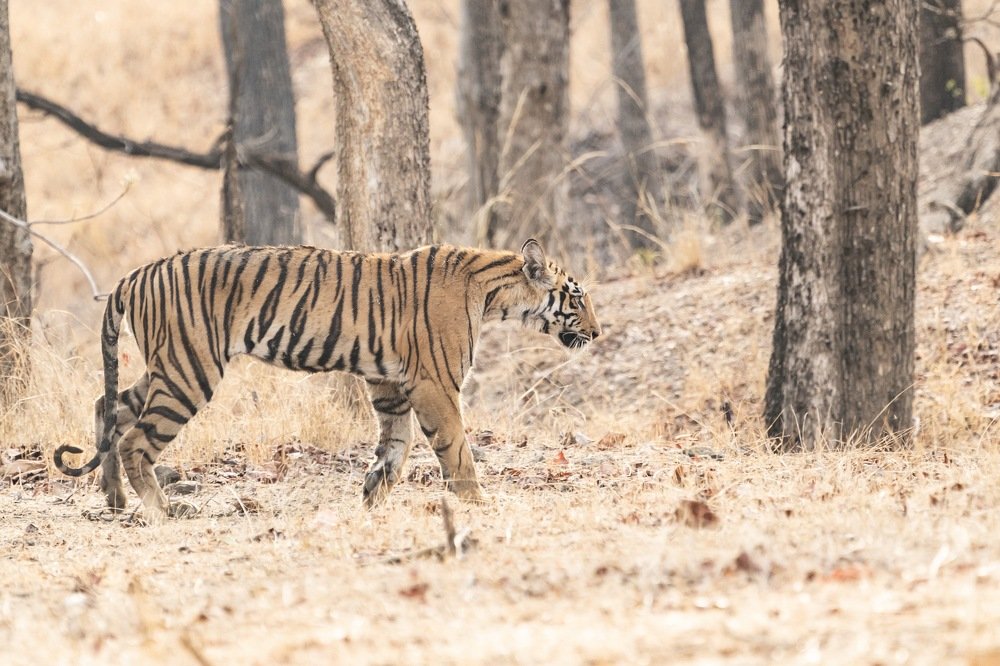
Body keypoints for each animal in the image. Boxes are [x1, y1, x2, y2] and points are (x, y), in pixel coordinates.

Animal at [54, 239, 601, 522]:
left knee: (108, 407)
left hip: (166, 367)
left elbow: (395, 447)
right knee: (137, 440)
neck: (494, 292)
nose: (598, 332)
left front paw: (371, 496)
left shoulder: (389, 383)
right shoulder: (434, 382)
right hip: (189, 371)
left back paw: (114, 498)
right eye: (577, 297)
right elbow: (455, 446)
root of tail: (136, 272)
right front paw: (476, 502)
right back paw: (161, 509)